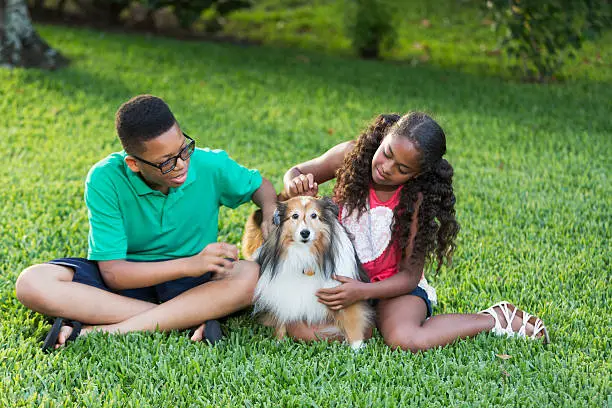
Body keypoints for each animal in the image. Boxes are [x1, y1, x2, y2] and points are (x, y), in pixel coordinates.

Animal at [243, 196, 372, 350]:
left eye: (314, 215)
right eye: (295, 216)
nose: (305, 233)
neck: (306, 252)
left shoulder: (344, 291)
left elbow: (352, 319)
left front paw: (356, 347)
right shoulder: (281, 290)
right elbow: (282, 316)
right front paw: (279, 341)